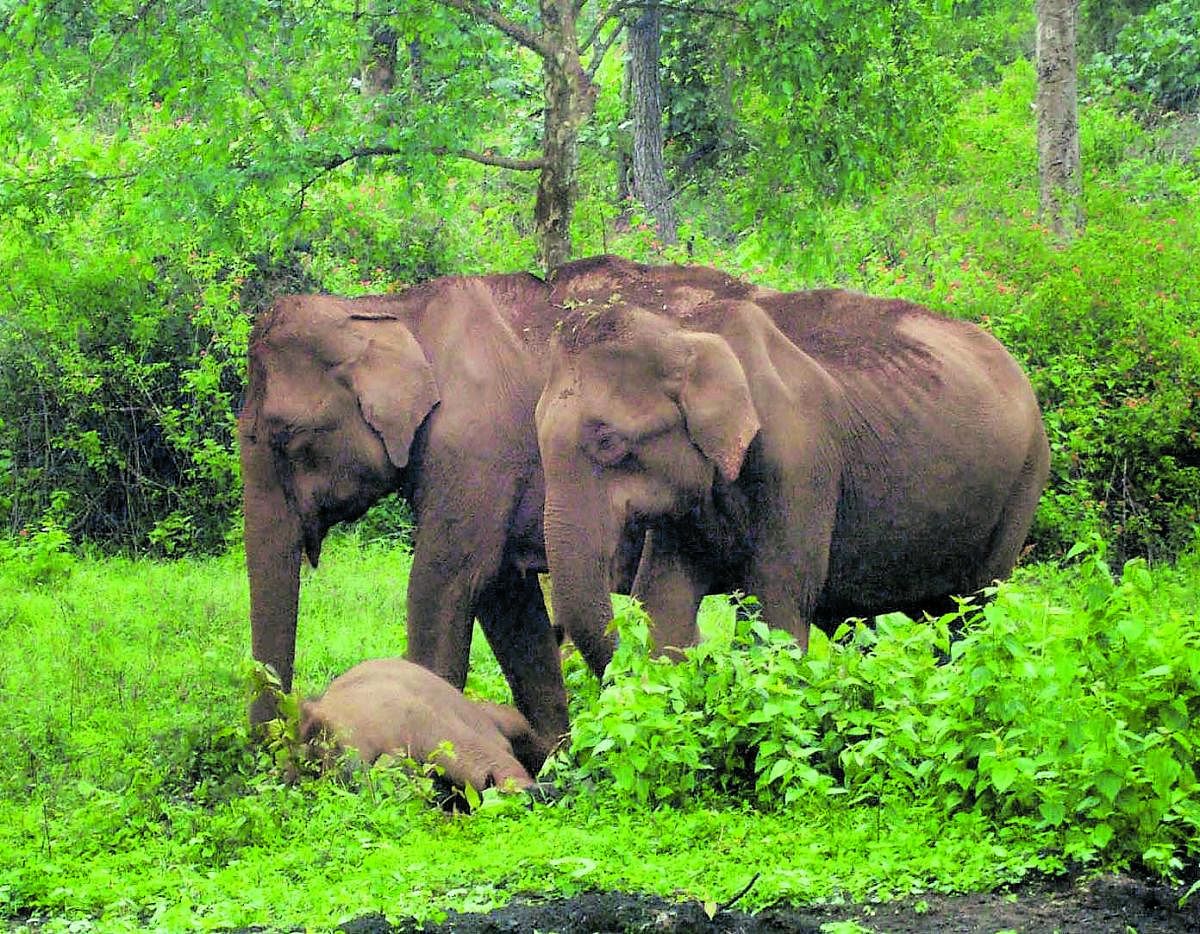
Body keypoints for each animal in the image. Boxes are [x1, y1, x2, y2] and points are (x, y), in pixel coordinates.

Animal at [535, 254, 1051, 677]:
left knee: (975, 606)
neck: (685, 330)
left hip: (1023, 482)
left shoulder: (799, 460)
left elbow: (778, 603)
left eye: (608, 442)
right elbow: (664, 600)